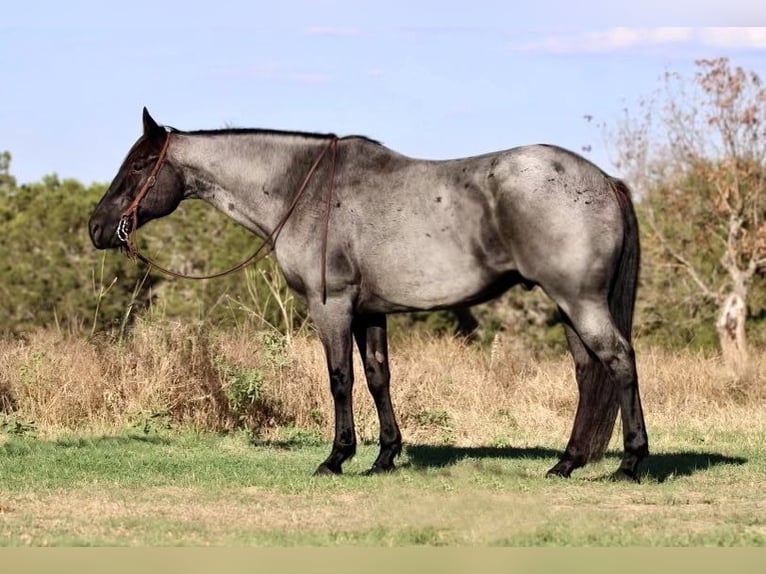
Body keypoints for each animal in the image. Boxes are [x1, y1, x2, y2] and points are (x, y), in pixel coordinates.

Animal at [91, 108, 656, 482]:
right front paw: (385, 457)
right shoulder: (369, 313)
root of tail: (604, 181)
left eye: (139, 165)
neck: (303, 191)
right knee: (588, 372)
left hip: (580, 302)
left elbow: (340, 379)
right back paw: (567, 462)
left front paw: (336, 457)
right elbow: (378, 378)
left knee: (620, 361)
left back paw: (630, 462)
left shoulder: (332, 307)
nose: (97, 227)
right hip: (568, 305)